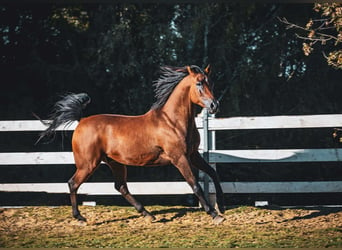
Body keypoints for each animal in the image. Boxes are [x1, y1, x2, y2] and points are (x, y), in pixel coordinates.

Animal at [37, 64, 226, 225]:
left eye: (211, 83)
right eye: (199, 83)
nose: (214, 105)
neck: (173, 122)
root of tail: (81, 121)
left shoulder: (193, 155)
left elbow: (213, 174)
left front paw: (222, 207)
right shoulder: (179, 158)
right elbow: (195, 185)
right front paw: (214, 214)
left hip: (115, 163)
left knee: (121, 187)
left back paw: (148, 215)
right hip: (88, 164)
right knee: (73, 183)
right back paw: (80, 218)